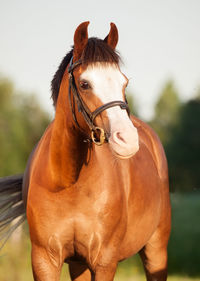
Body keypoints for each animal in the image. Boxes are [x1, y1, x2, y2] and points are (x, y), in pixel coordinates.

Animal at [0, 20, 171, 278]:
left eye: (124, 82)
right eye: (85, 84)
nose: (127, 139)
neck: (67, 182)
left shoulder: (104, 262)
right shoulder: (44, 261)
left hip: (155, 251)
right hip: (78, 265)